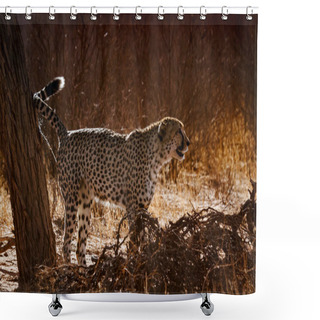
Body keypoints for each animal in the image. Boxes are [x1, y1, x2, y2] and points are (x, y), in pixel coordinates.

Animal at [33, 77, 190, 264]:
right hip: (71, 197)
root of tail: (68, 133)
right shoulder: (133, 207)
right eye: (178, 131)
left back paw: (84, 269)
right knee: (66, 240)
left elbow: (140, 238)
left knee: (80, 246)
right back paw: (69, 266)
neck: (157, 156)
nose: (189, 142)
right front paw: (133, 262)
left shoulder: (142, 208)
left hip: (86, 202)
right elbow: (134, 240)